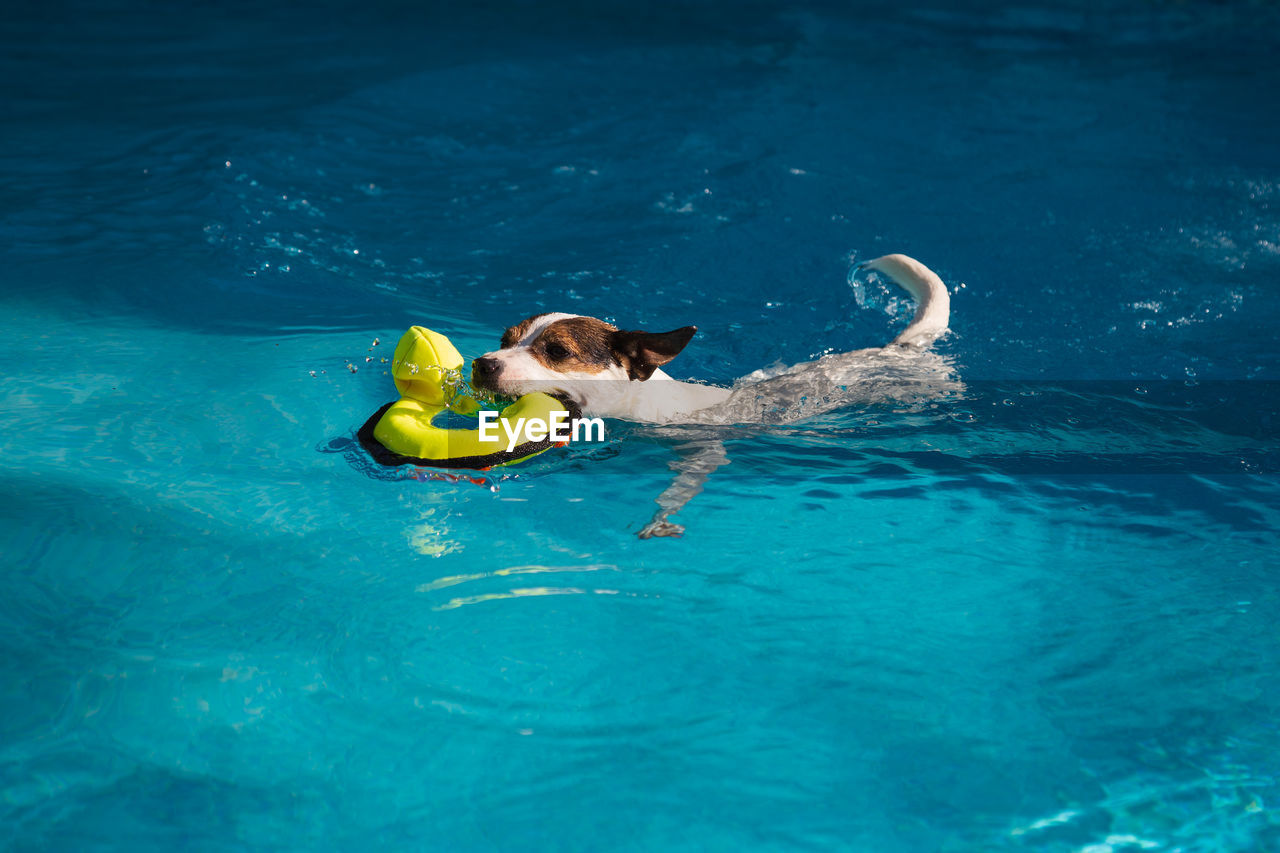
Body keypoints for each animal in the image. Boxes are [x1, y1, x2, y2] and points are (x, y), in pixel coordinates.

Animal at [471, 249, 952, 535]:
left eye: (557, 351)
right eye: (504, 340)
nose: (482, 364)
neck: (650, 406)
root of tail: (902, 348)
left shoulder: (704, 449)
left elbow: (680, 488)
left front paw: (661, 517)